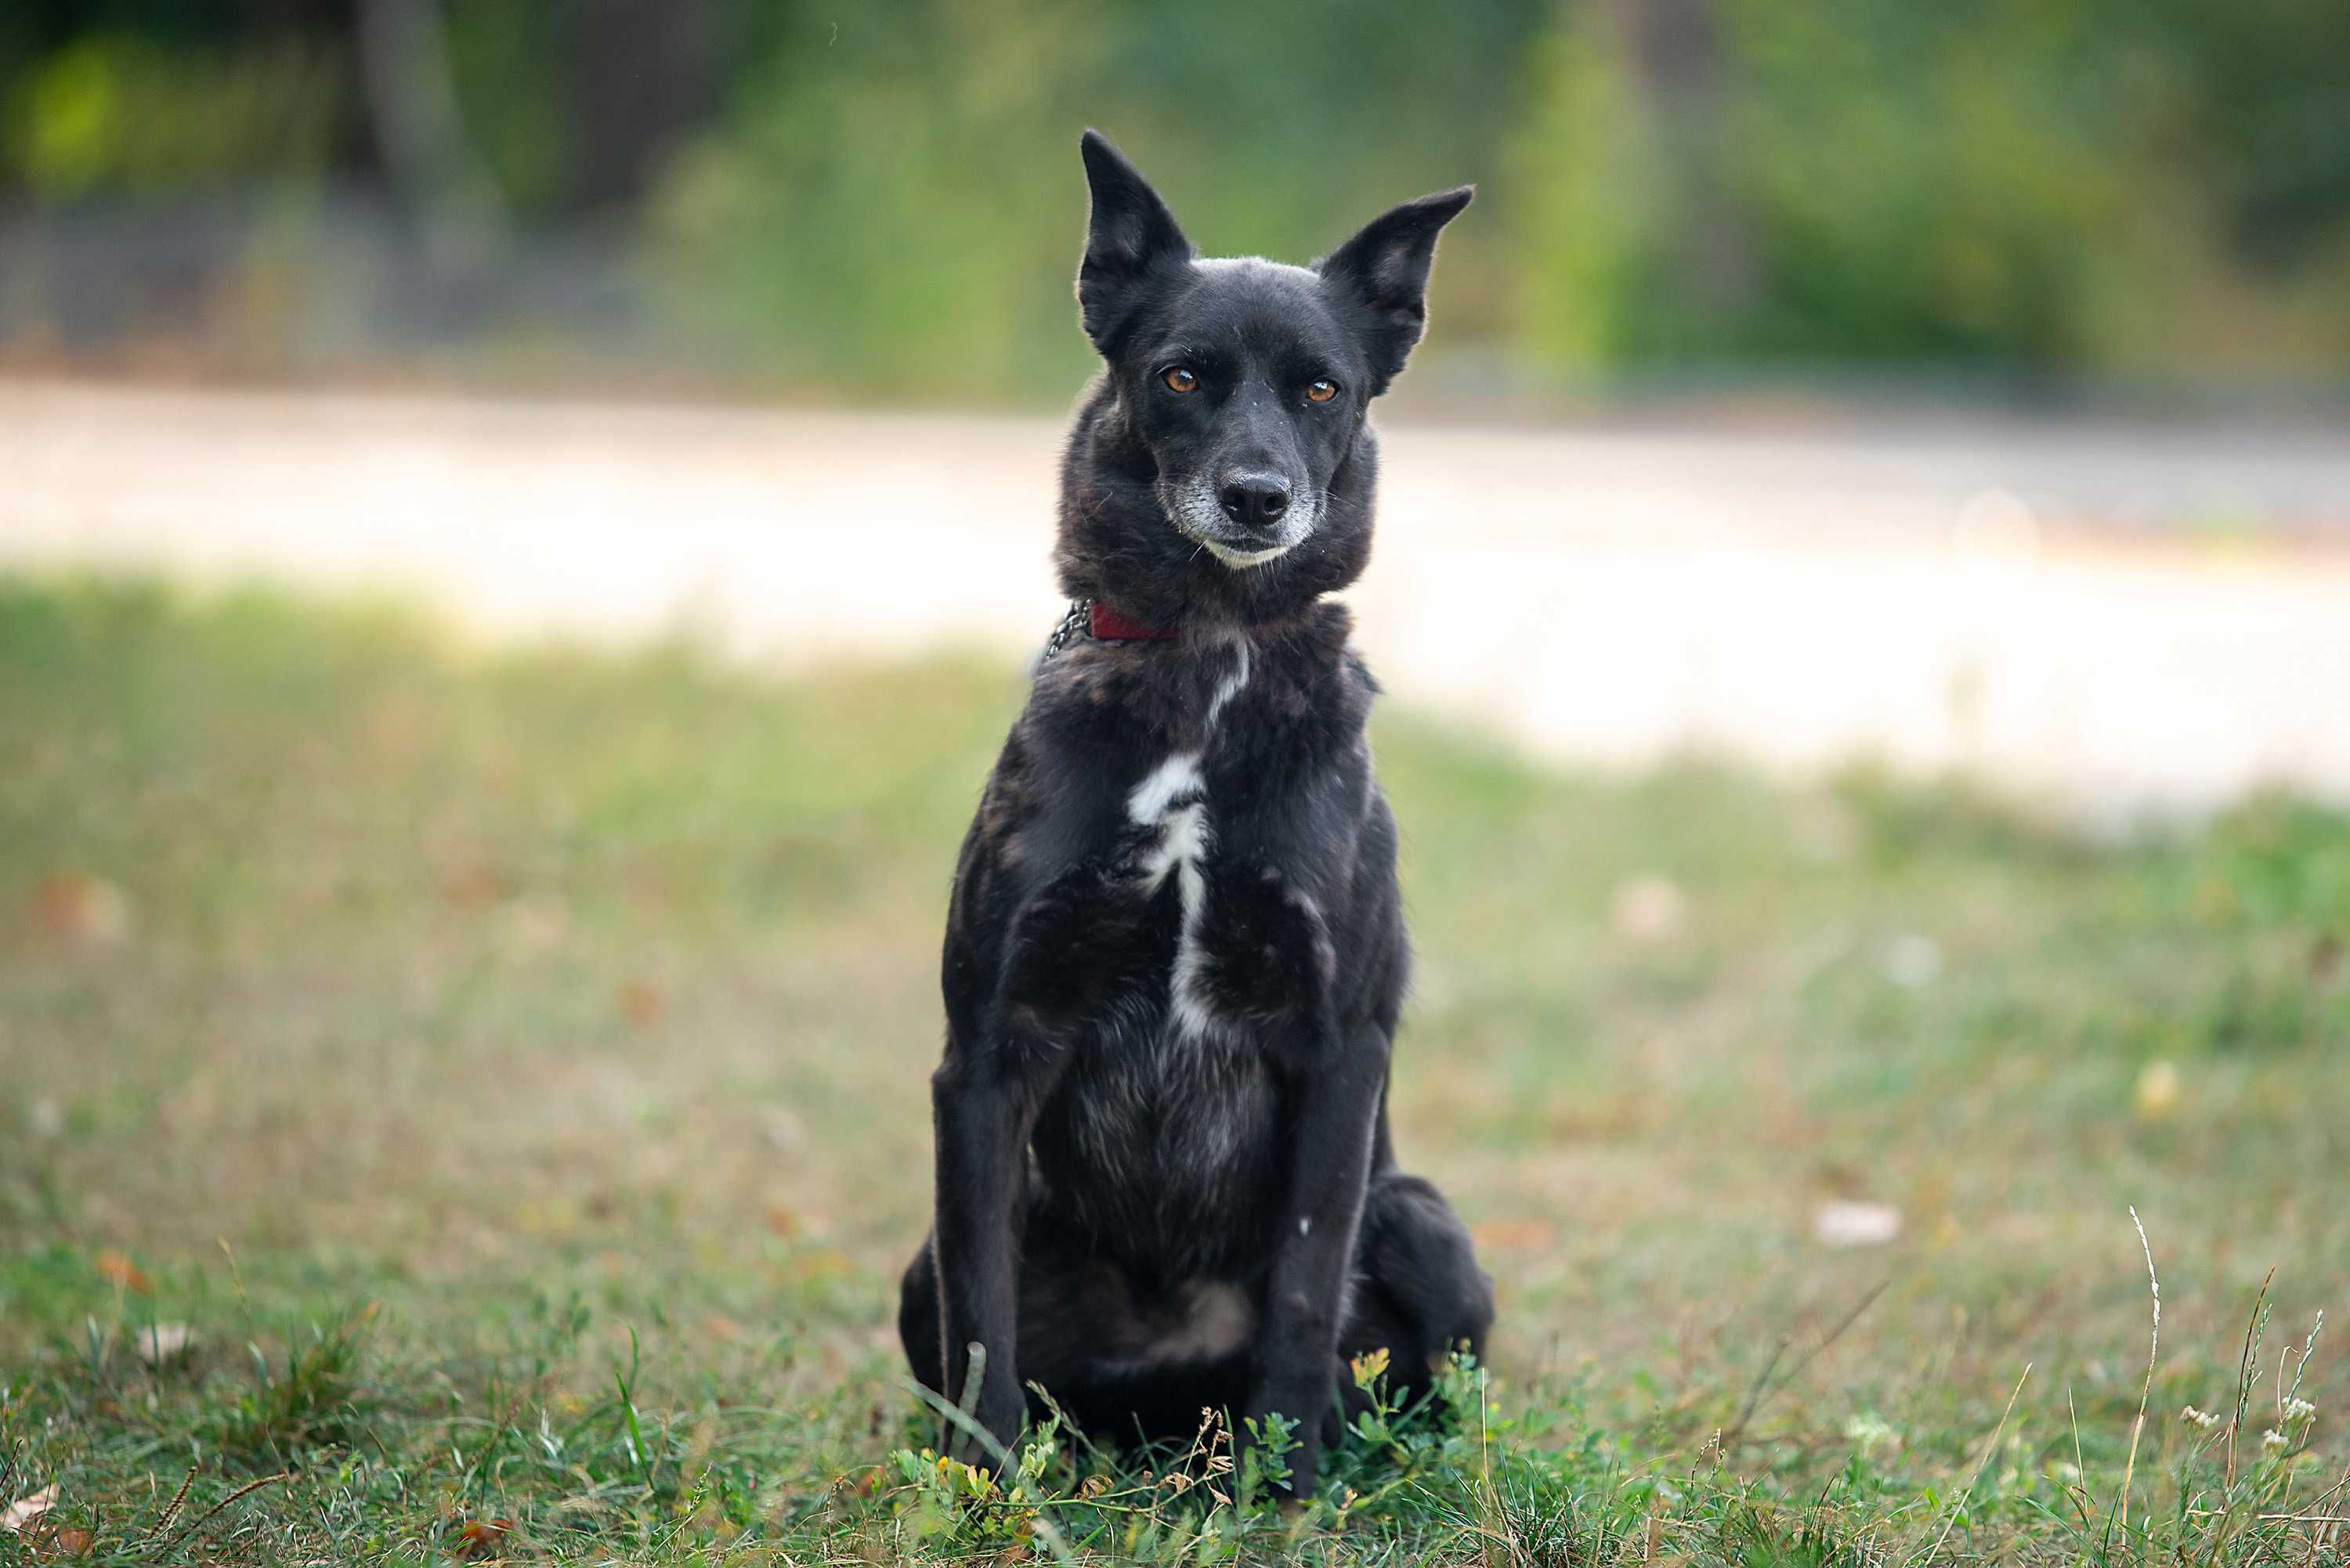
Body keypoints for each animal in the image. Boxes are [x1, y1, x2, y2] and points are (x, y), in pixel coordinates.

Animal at [898, 132, 1485, 1494]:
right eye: (1180, 377)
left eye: (1322, 390)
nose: (1258, 496)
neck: (1211, 669)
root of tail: (1166, 1413)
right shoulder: (986, 1058)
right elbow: (980, 1319)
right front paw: (988, 1492)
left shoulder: (1338, 1051)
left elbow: (1306, 1290)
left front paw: (1288, 1491)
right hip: (916, 1268)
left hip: (1427, 1221)